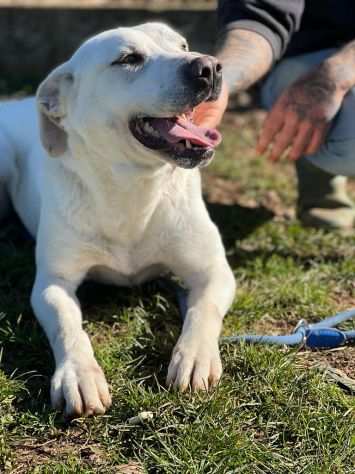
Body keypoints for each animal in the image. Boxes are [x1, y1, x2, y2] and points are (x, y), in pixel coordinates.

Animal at [0, 22, 236, 416]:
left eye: (182, 45)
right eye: (128, 59)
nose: (209, 66)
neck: (133, 188)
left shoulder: (213, 270)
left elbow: (203, 311)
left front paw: (194, 357)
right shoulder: (52, 283)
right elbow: (68, 326)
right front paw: (79, 374)